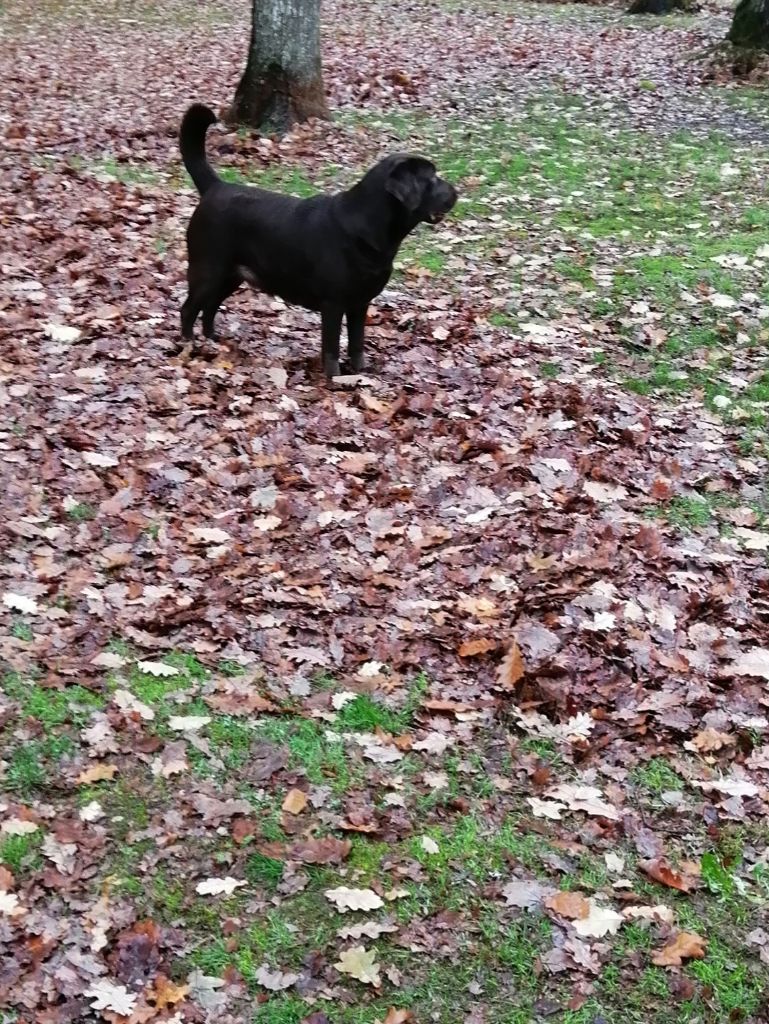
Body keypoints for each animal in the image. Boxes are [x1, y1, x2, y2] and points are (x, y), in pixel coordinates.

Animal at [180, 103, 456, 378]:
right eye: (431, 179)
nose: (456, 191)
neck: (370, 227)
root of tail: (215, 187)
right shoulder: (333, 304)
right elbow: (331, 348)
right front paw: (335, 379)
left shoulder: (360, 303)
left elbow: (357, 343)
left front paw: (360, 372)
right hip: (208, 270)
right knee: (188, 309)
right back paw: (189, 345)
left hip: (231, 276)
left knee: (209, 308)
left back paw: (212, 341)